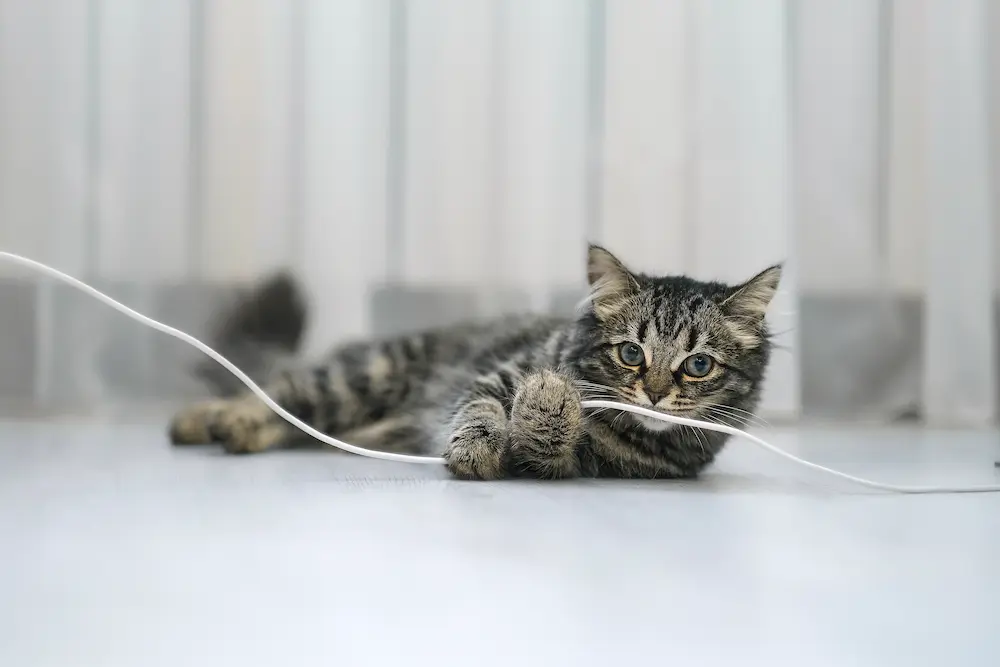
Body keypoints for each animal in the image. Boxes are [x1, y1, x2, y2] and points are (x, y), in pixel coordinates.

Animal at [170, 245, 780, 480]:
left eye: (697, 366)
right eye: (632, 353)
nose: (654, 393)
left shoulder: (581, 465)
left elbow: (542, 444)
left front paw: (548, 404)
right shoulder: (494, 377)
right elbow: (481, 414)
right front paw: (478, 449)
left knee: (299, 422)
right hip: (363, 377)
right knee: (279, 393)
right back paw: (210, 419)